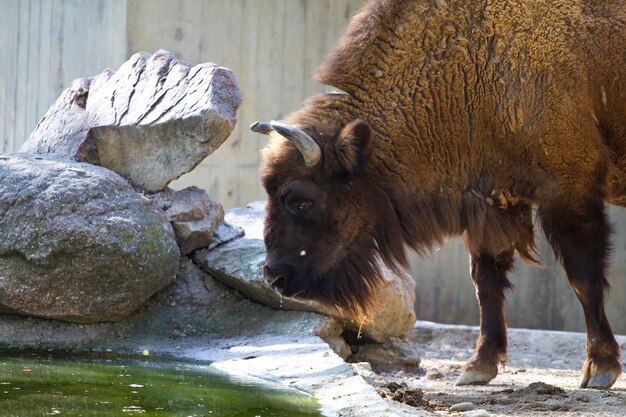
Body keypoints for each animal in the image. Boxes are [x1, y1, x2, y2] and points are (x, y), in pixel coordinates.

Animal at [250, 0, 624, 388]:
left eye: (301, 200)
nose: (273, 276)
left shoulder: (568, 194)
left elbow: (583, 277)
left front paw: (600, 369)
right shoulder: (491, 207)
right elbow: (486, 280)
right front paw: (477, 366)